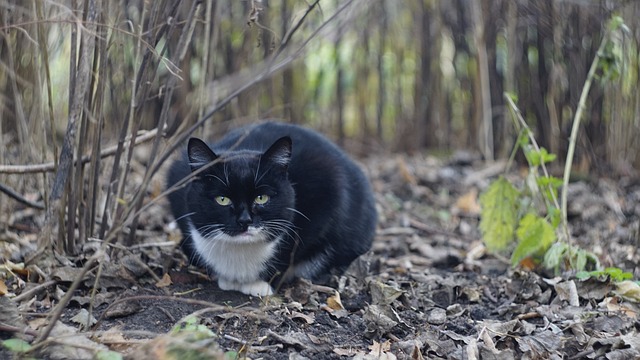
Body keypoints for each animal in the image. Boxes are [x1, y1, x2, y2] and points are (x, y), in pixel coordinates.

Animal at [166, 121, 376, 296]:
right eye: (222, 199)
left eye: (261, 198)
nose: (245, 220)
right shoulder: (177, 177)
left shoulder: (328, 186)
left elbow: (292, 247)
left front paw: (258, 283)